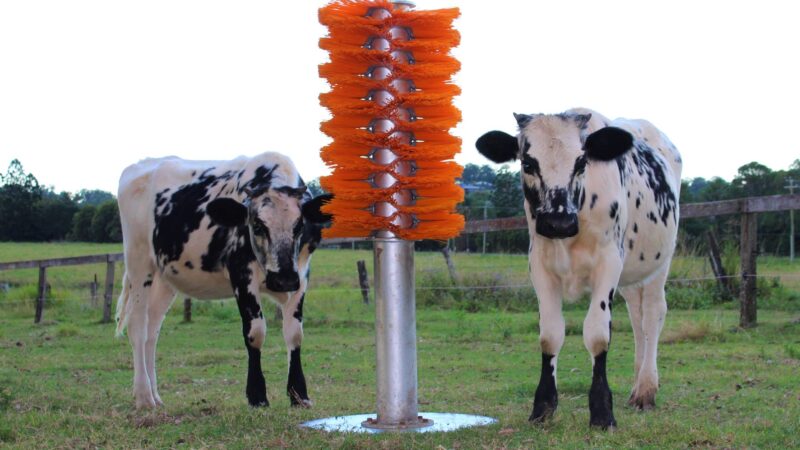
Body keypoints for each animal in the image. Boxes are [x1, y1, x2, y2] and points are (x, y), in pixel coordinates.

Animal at [114, 153, 330, 410]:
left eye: (299, 226)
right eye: (257, 225)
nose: (283, 279)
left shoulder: (302, 275)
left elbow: (295, 334)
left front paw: (299, 395)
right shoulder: (241, 275)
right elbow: (255, 332)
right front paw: (257, 396)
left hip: (164, 277)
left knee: (152, 331)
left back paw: (156, 396)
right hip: (138, 263)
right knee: (138, 326)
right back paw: (144, 396)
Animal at [476, 107, 680, 428]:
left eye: (582, 161)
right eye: (528, 163)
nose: (558, 222)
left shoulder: (609, 262)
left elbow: (597, 334)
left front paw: (602, 412)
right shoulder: (540, 265)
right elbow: (550, 335)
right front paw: (542, 407)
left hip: (660, 262)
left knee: (653, 315)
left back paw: (646, 390)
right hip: (631, 273)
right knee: (637, 317)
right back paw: (637, 385)